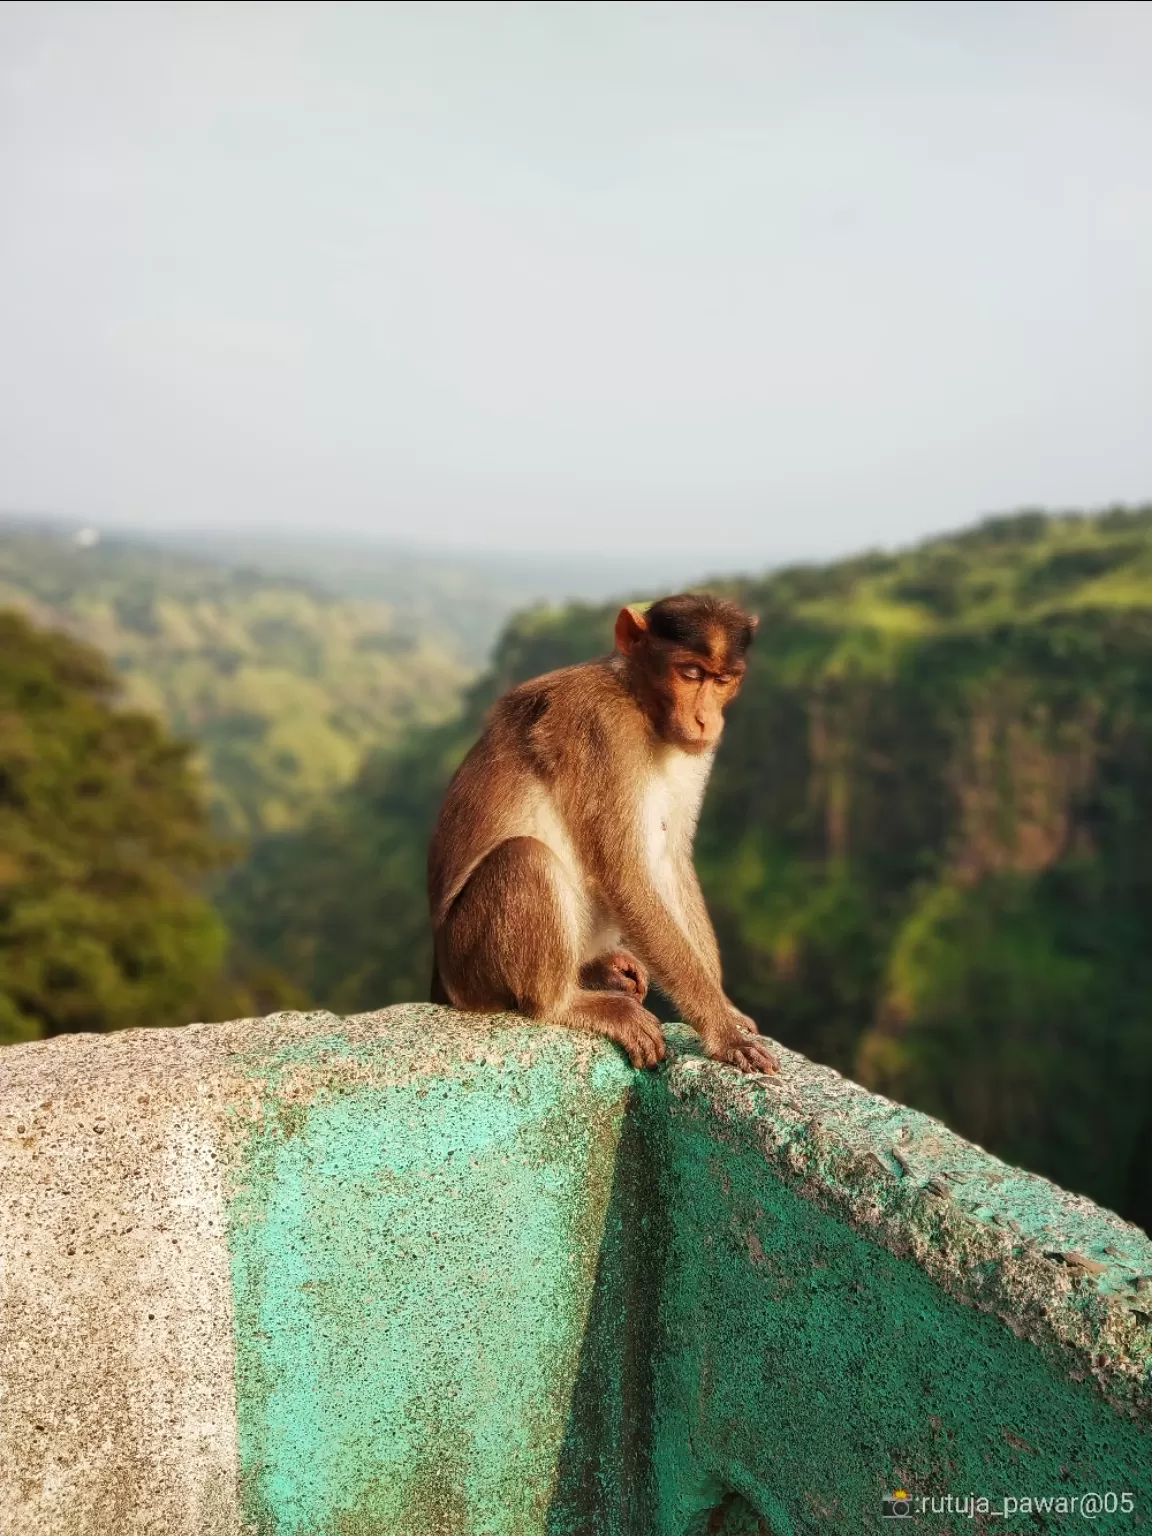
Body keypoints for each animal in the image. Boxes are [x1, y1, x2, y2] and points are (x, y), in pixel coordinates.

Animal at [430, 592, 780, 1075]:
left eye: (724, 680)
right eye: (691, 674)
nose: (706, 720)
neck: (640, 703)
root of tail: (442, 979)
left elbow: (670, 858)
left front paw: (725, 1010)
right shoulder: (601, 728)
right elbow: (624, 873)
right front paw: (723, 1031)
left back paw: (597, 970)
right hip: (469, 966)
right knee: (525, 857)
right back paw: (565, 1004)